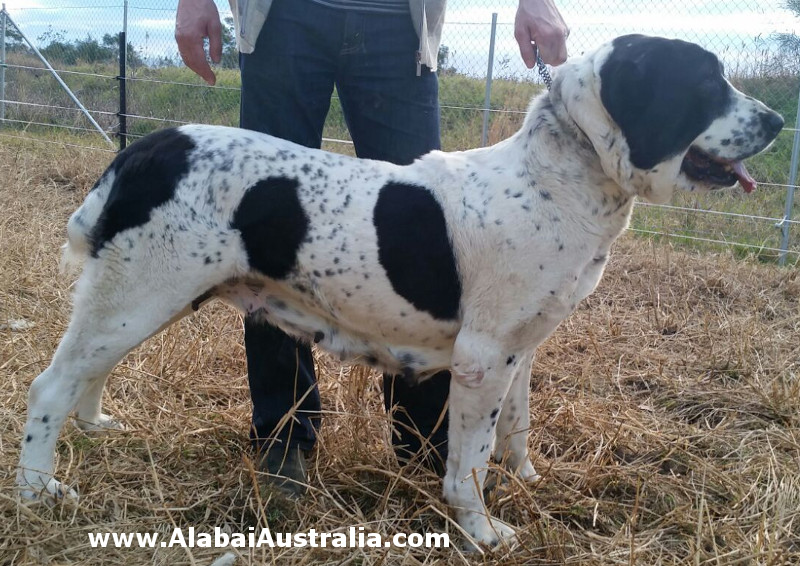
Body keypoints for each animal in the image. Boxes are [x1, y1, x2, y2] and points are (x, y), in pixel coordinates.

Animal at [17, 36, 780, 552]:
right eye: (705, 83)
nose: (774, 122)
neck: (559, 174)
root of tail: (146, 147)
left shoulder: (524, 347)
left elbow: (516, 428)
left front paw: (527, 480)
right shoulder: (482, 356)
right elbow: (470, 460)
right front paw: (482, 531)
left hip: (139, 298)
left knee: (86, 373)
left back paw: (94, 425)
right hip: (138, 295)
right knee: (49, 386)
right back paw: (37, 493)